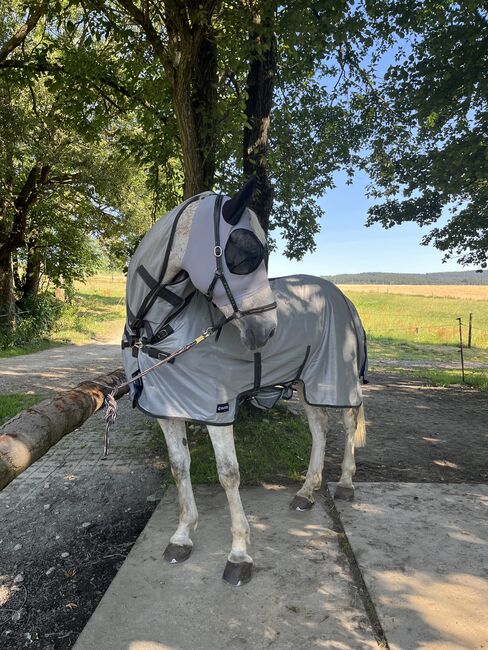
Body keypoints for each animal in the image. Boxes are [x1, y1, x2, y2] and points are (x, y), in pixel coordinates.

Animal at [122, 176, 366, 584]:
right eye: (245, 252)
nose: (266, 330)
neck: (161, 329)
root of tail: (341, 296)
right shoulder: (168, 411)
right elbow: (179, 467)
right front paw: (182, 536)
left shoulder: (216, 410)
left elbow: (229, 475)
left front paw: (239, 554)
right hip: (305, 382)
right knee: (319, 427)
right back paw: (306, 492)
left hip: (334, 378)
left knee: (348, 421)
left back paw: (345, 484)